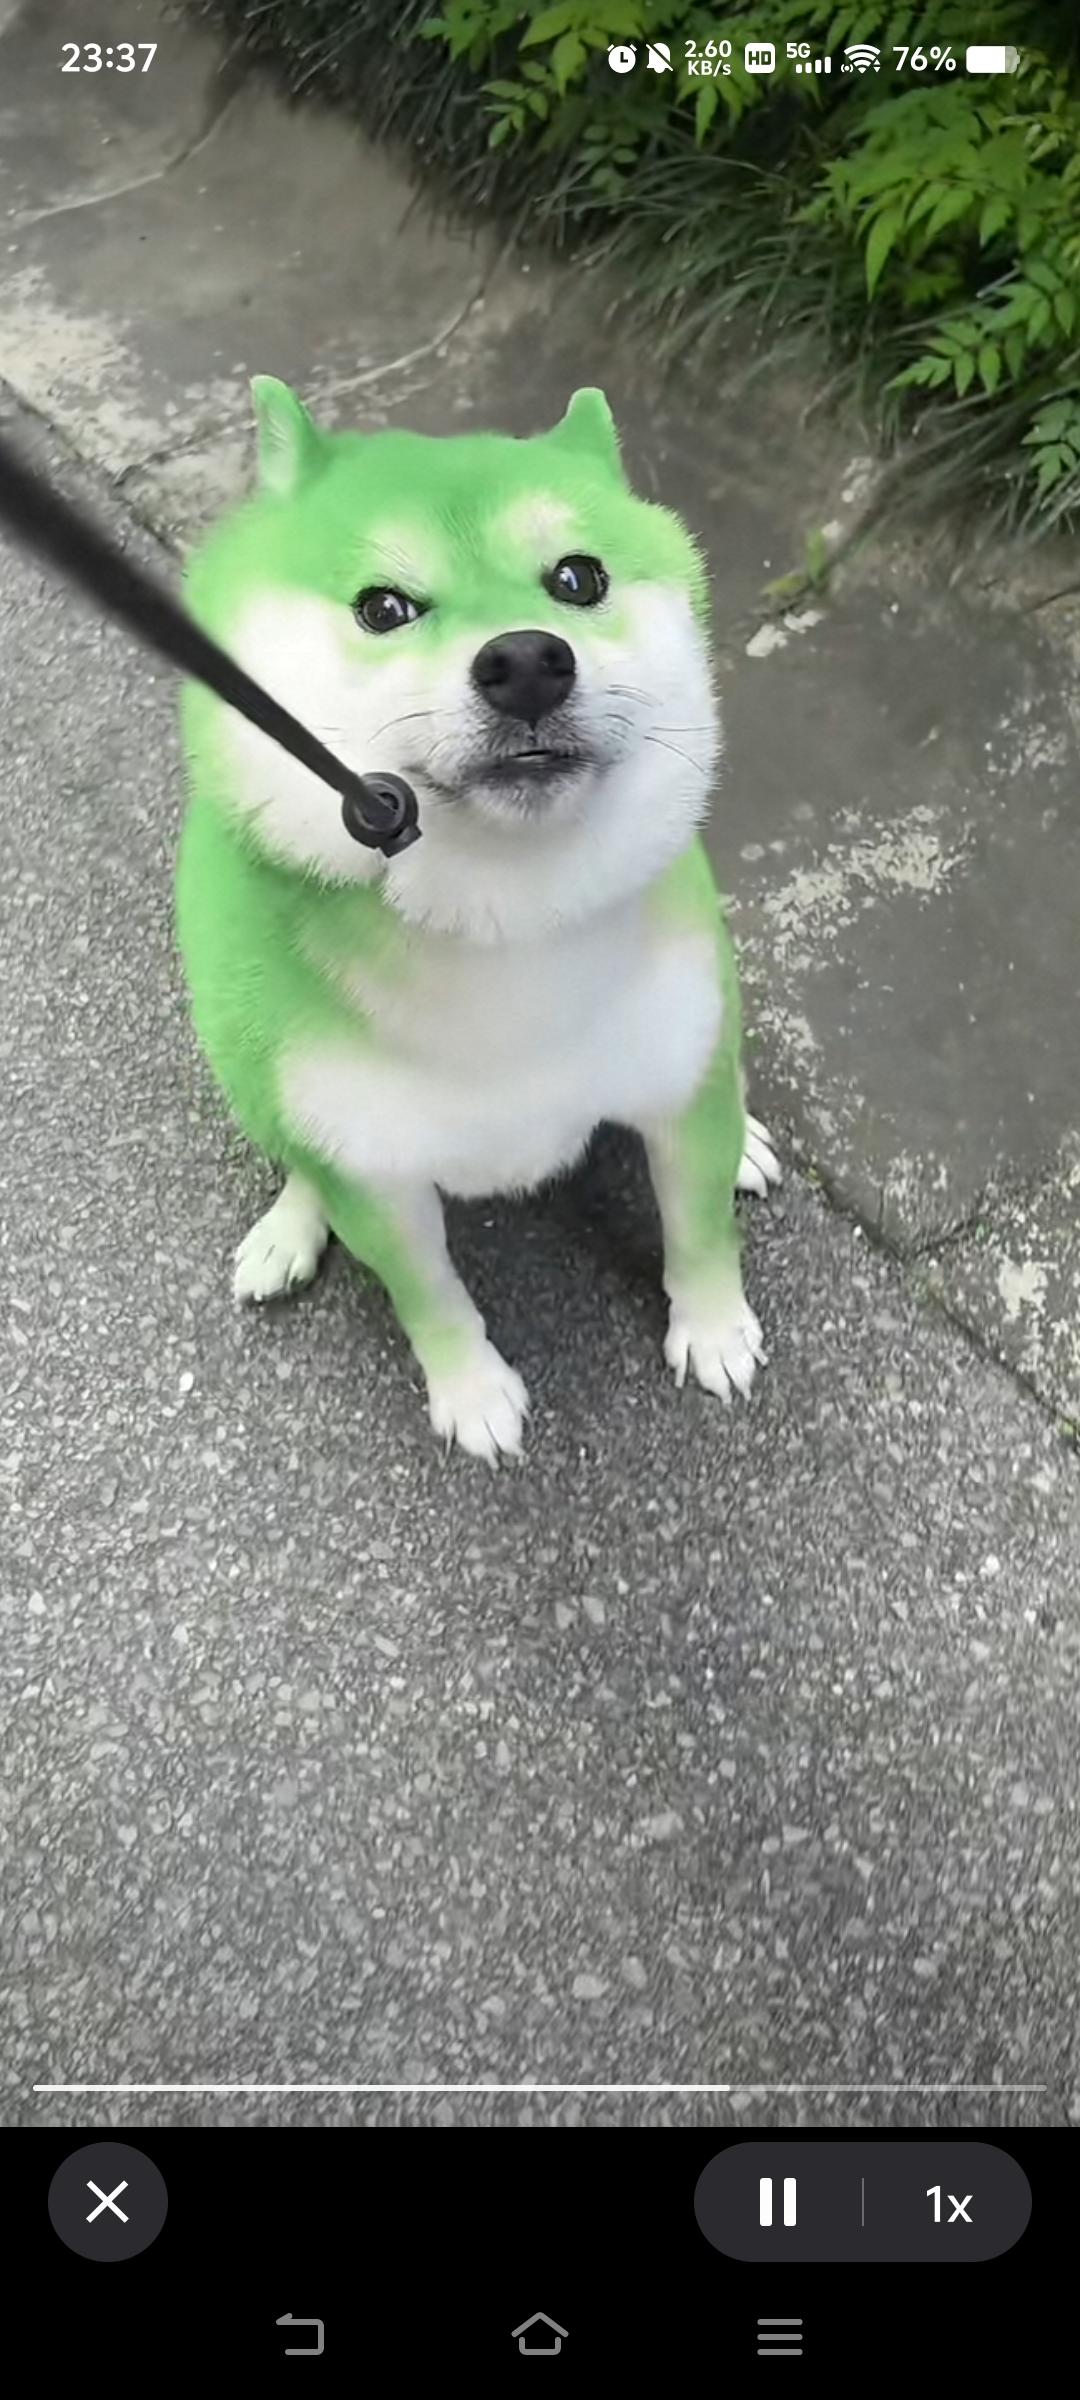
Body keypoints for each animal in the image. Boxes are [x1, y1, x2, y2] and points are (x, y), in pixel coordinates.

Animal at [176, 380, 779, 1461]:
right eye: (384, 607)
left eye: (578, 577)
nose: (529, 660)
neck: (508, 923)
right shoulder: (376, 1178)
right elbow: (431, 1300)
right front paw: (472, 1393)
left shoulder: (678, 1080)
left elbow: (701, 1228)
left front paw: (713, 1328)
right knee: (294, 1156)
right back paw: (288, 1228)